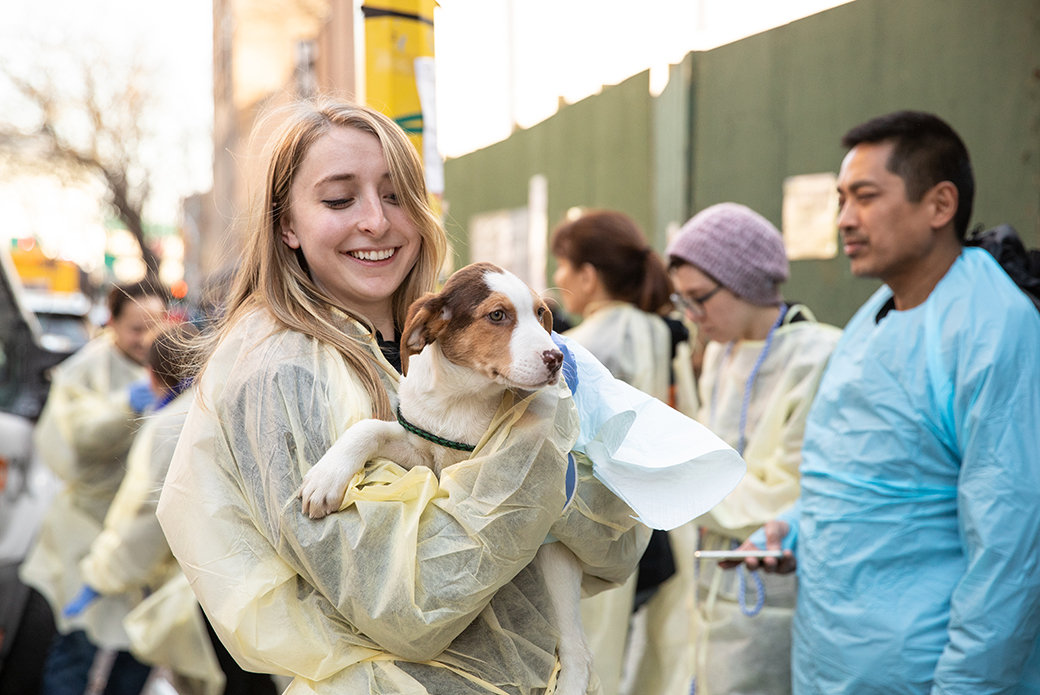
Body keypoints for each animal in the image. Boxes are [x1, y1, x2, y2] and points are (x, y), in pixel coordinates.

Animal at [299, 262, 594, 695]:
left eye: (541, 313)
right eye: (497, 315)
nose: (557, 358)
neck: (461, 401)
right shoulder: (417, 449)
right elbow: (368, 428)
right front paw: (327, 476)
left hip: (556, 560)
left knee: (577, 648)